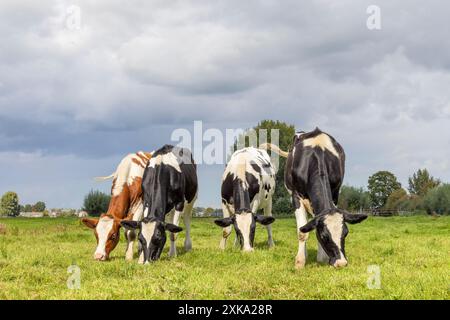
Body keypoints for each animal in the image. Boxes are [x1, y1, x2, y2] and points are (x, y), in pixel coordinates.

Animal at [284, 129, 366, 268]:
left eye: (345, 233)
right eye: (324, 236)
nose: (341, 263)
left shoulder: (335, 193)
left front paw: (322, 258)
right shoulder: (295, 196)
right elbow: (302, 232)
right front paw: (299, 262)